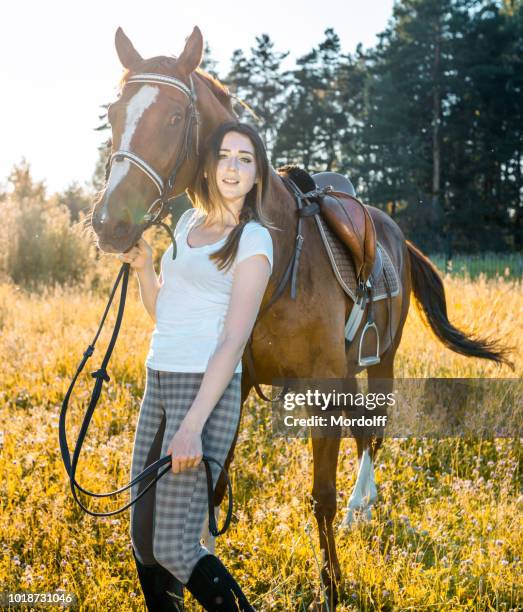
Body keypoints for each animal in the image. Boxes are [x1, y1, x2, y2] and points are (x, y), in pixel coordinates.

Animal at [92, 25, 512, 612]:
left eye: (174, 118)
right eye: (113, 113)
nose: (110, 223)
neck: (276, 256)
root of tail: (394, 232)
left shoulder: (323, 389)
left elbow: (321, 496)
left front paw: (332, 584)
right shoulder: (235, 384)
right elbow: (213, 484)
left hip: (382, 359)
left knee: (374, 429)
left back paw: (364, 502)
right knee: (362, 427)